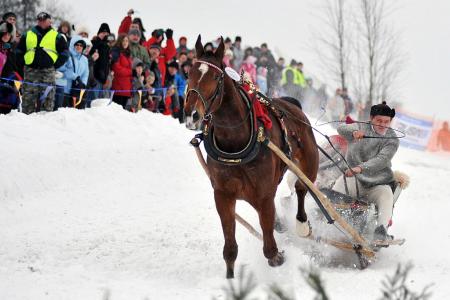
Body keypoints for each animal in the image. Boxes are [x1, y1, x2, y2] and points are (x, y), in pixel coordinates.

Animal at [184, 35, 320, 278]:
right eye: (189, 73)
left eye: (216, 76)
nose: (191, 115)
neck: (235, 144)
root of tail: (292, 103)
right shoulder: (223, 195)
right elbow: (230, 249)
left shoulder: (264, 195)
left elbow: (270, 252)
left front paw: (278, 256)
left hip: (309, 163)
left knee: (302, 187)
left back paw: (302, 225)